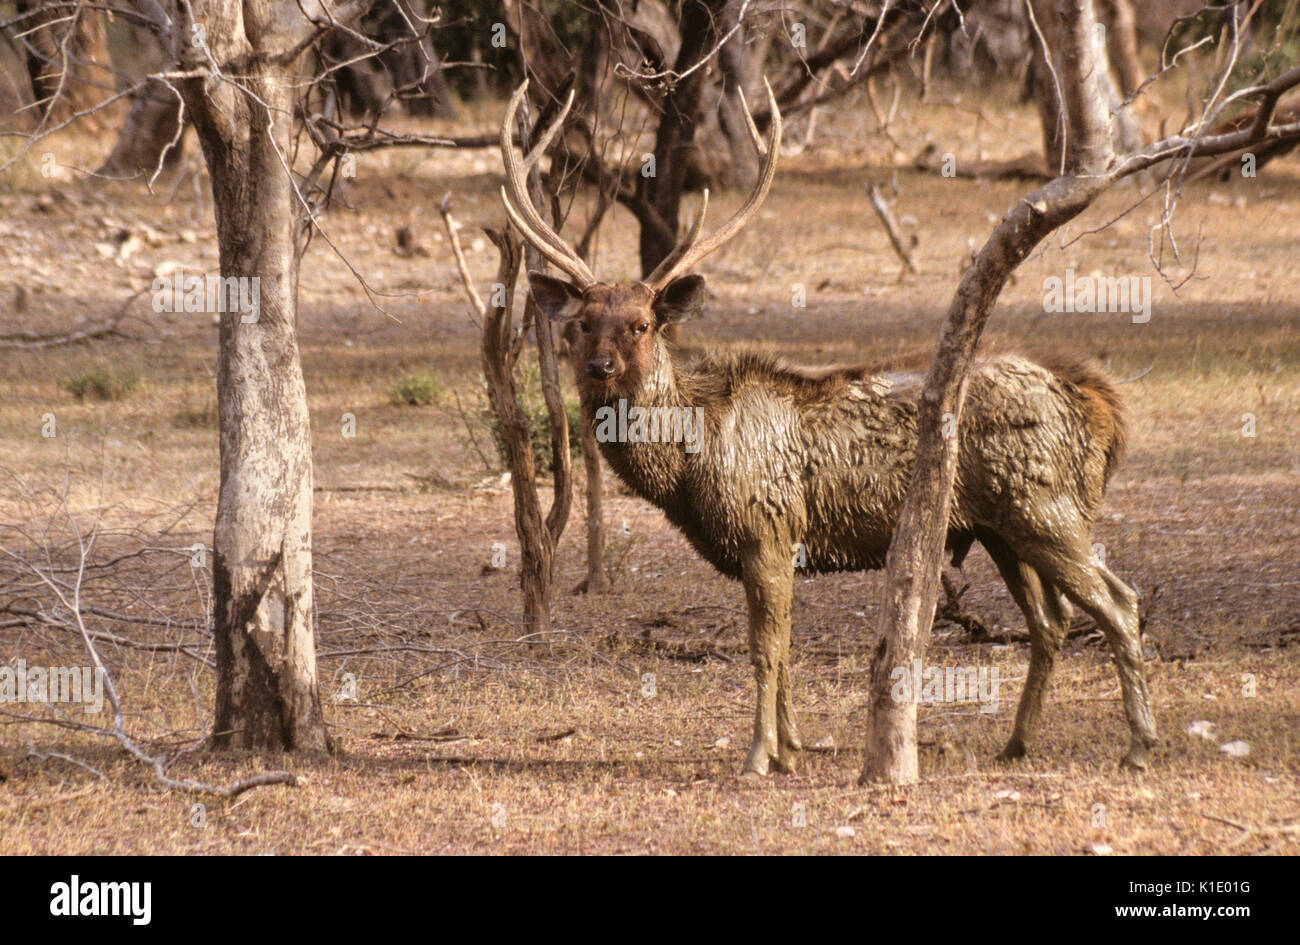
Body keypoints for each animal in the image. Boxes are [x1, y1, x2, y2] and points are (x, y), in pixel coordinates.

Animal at [499, 81, 1159, 774]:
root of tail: (1098, 405)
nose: (599, 367)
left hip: (1046, 507)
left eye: (641, 324)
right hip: (1001, 524)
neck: (690, 465)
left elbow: (764, 650)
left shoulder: (766, 527)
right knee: (1051, 619)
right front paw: (792, 747)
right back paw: (1016, 742)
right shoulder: (778, 542)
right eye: (582, 324)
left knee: (1120, 602)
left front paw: (759, 756)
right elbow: (786, 650)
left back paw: (1139, 746)